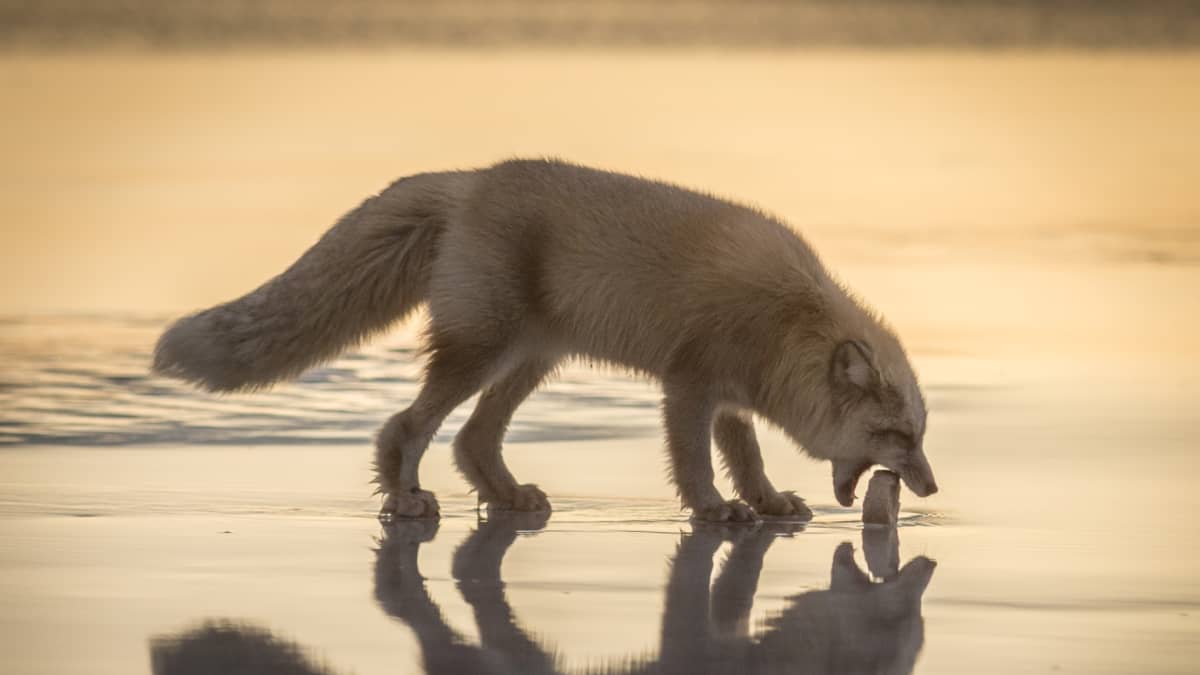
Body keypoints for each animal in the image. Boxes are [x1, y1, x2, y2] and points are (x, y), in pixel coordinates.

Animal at [152, 158, 936, 521]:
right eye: (896, 435)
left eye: (919, 435)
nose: (929, 488)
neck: (784, 318)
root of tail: (469, 181)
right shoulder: (687, 387)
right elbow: (696, 466)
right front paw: (715, 512)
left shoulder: (731, 399)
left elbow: (747, 460)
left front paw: (768, 502)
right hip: (481, 352)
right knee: (405, 427)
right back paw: (404, 498)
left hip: (532, 361)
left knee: (472, 441)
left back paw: (505, 495)